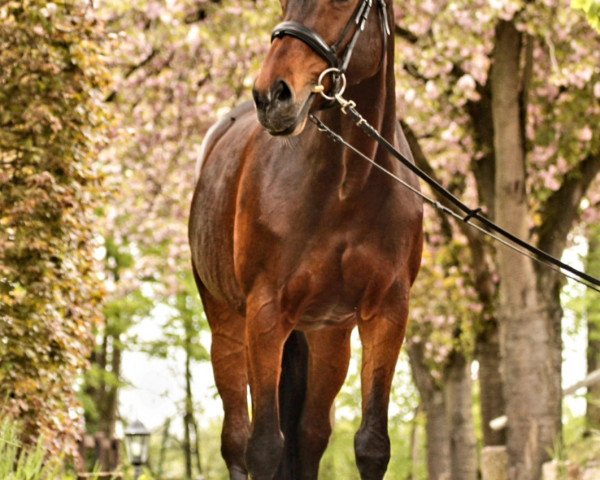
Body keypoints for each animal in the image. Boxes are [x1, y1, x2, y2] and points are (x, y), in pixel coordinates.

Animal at [190, 1, 424, 478]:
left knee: (311, 435)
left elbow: (371, 445)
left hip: (329, 338)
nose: (271, 95)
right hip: (227, 328)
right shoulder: (264, 315)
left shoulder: (388, 313)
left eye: (343, 3)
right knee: (236, 439)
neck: (348, 186)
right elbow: (264, 447)